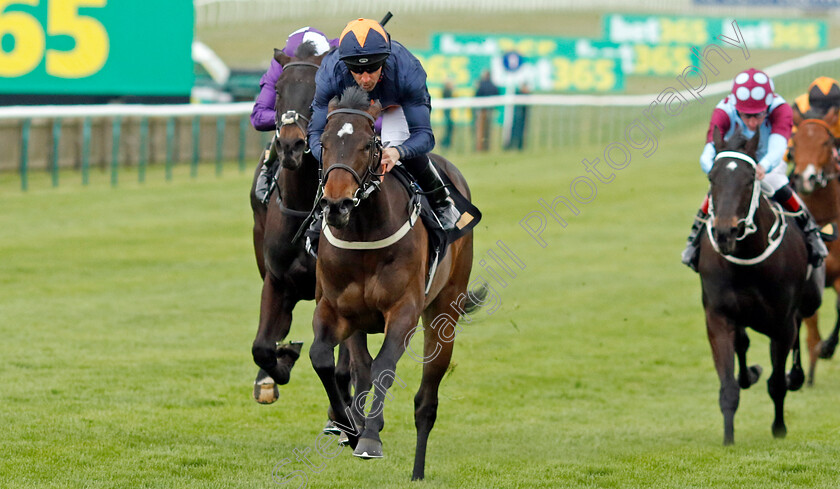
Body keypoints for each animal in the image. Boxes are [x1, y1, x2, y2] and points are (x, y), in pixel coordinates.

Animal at [249, 42, 354, 418]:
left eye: (315, 95)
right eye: (278, 91)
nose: (290, 145)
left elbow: (344, 365)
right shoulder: (278, 281)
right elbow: (262, 347)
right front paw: (281, 362)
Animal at [310, 86, 486, 478]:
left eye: (367, 145)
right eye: (324, 143)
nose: (336, 205)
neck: (364, 232)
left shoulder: (404, 311)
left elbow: (384, 366)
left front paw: (370, 437)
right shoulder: (334, 308)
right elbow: (322, 358)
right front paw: (349, 427)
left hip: (444, 312)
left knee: (426, 401)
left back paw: (418, 471)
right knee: (359, 367)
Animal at [700, 127, 824, 446]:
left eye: (748, 180)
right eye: (712, 178)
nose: (725, 232)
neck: (746, 260)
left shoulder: (782, 322)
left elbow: (777, 383)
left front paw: (779, 429)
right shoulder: (718, 317)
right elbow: (729, 386)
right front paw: (728, 438)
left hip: (807, 302)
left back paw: (796, 376)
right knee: (743, 345)